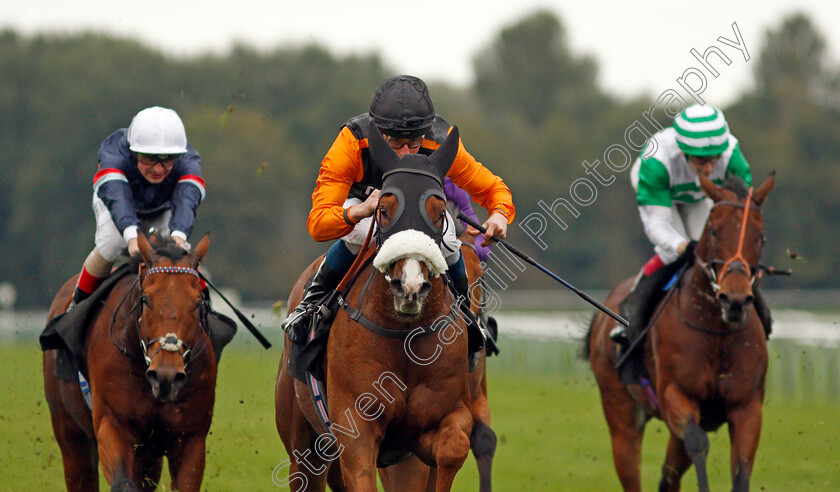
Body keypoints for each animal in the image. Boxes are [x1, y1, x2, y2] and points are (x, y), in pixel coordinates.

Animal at [44, 234, 217, 492]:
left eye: (197, 302)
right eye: (146, 299)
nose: (166, 375)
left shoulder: (190, 440)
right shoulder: (111, 426)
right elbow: (123, 483)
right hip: (70, 435)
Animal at [274, 124, 472, 492]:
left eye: (439, 214)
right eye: (383, 209)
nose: (410, 286)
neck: (404, 336)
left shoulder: (437, 423)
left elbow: (453, 446)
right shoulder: (355, 428)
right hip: (302, 444)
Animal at [584, 174, 776, 492]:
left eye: (761, 236)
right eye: (714, 230)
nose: (735, 301)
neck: (717, 333)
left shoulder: (747, 407)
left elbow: (741, 469)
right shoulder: (676, 395)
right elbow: (698, 443)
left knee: (669, 475)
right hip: (621, 413)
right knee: (631, 467)